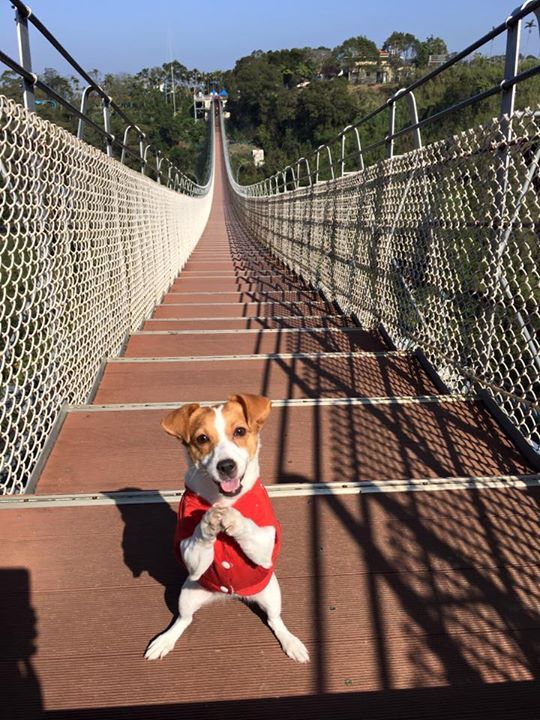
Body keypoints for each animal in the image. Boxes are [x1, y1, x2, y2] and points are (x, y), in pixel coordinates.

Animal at [146, 394, 310, 664]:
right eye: (202, 438)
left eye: (240, 431)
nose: (226, 466)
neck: (224, 498)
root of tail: (229, 594)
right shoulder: (188, 551)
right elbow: (199, 537)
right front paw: (209, 520)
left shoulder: (266, 541)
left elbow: (248, 527)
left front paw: (232, 517)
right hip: (187, 595)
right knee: (183, 620)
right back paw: (164, 641)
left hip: (272, 593)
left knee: (275, 620)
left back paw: (291, 642)